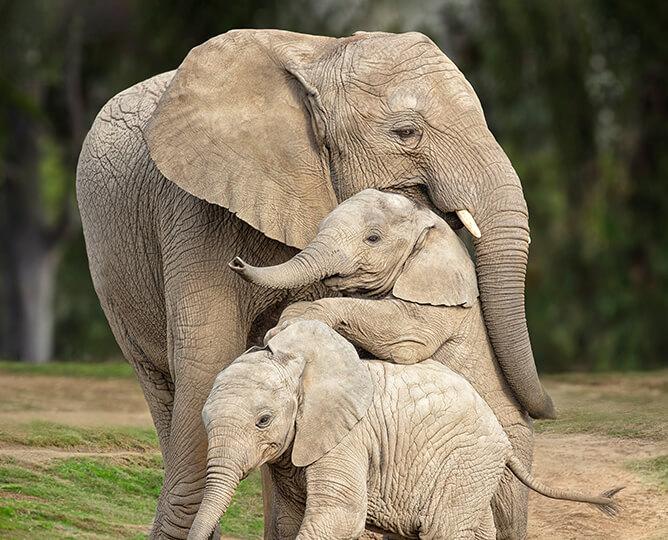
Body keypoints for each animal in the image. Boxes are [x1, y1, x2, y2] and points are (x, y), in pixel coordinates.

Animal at [77, 30, 552, 540]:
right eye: (406, 133)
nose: (237, 263)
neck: (320, 57)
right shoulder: (193, 211)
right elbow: (207, 361)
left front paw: (291, 327)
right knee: (163, 385)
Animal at [190, 320, 620, 540]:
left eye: (263, 420)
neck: (301, 364)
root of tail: (500, 432)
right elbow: (295, 519)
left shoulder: (348, 439)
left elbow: (338, 515)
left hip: (466, 461)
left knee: (444, 529)